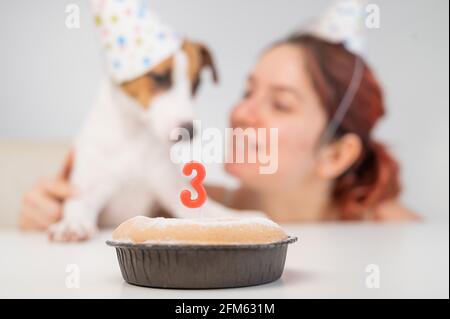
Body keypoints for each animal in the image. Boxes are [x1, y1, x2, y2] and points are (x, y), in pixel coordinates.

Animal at [47, 41, 260, 241]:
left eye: (196, 84)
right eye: (160, 77)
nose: (190, 131)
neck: (135, 135)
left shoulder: (172, 189)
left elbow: (208, 209)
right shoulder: (88, 189)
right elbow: (77, 205)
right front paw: (72, 224)